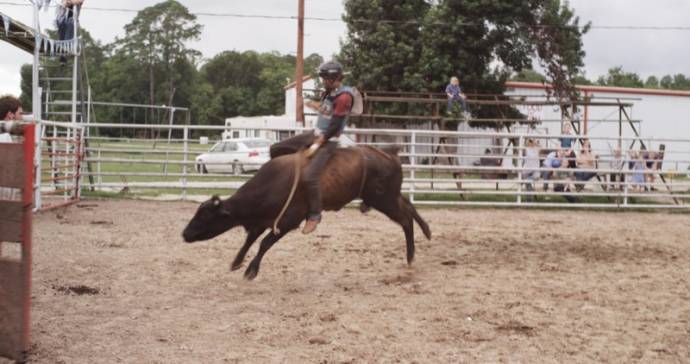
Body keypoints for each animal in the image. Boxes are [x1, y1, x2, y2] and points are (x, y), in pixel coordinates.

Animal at [183, 135, 430, 280]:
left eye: (205, 216)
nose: (184, 234)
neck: (275, 182)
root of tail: (389, 152)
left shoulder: (289, 220)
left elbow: (264, 243)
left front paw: (251, 270)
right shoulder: (264, 219)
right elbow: (251, 238)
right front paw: (236, 262)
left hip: (384, 199)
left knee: (405, 219)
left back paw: (411, 257)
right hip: (389, 195)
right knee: (409, 206)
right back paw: (426, 232)